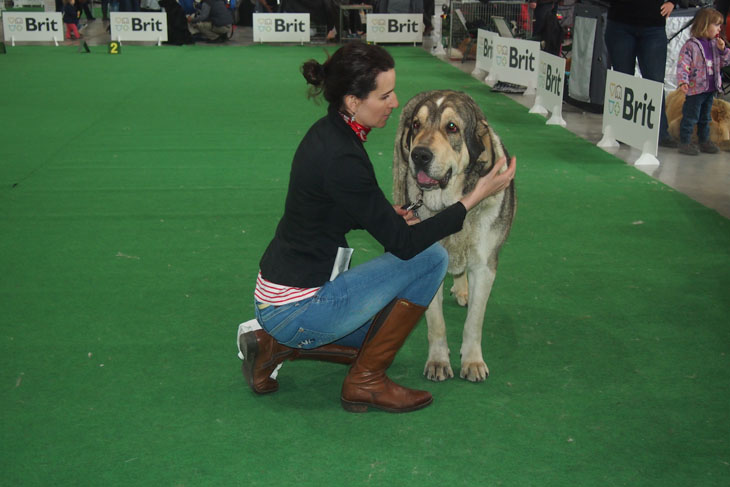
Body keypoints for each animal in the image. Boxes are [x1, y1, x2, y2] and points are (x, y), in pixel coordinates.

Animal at [390, 90, 516, 382]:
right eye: (417, 125)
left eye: (452, 127)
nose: (419, 155)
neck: (450, 205)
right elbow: (436, 323)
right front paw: (438, 362)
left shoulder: (485, 267)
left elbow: (474, 321)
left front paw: (473, 362)